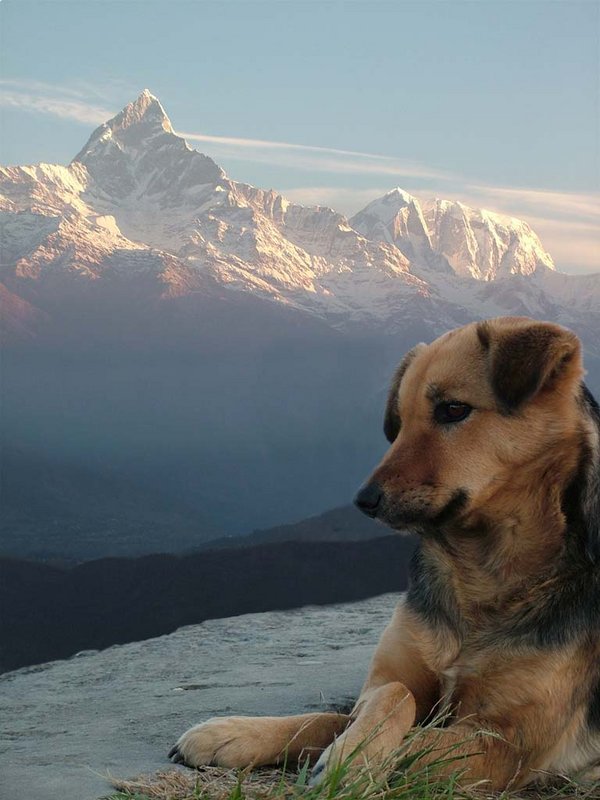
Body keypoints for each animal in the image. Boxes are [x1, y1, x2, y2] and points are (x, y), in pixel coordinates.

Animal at [169, 316, 600, 792]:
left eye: (453, 409)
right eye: (400, 421)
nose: (364, 500)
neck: (480, 575)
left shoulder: (505, 745)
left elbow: (416, 744)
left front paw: (351, 762)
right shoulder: (386, 680)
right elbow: (365, 705)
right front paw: (232, 734)